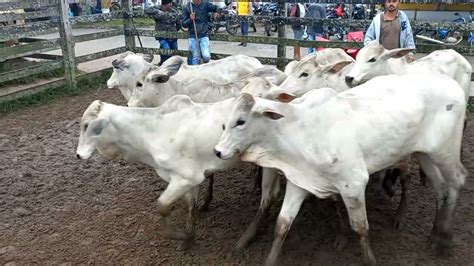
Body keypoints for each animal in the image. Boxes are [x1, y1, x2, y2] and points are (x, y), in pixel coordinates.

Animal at [75, 97, 280, 251]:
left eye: (87, 125)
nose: (78, 154)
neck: (151, 132)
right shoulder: (189, 181)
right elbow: (191, 206)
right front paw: (189, 238)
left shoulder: (185, 178)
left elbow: (162, 206)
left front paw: (181, 235)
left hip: (269, 166)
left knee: (268, 198)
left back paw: (246, 238)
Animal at [215, 73, 466, 266]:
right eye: (225, 121)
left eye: (240, 121)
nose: (217, 151)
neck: (299, 128)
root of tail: (452, 84)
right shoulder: (300, 181)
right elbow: (282, 224)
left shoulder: (353, 184)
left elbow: (361, 227)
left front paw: (370, 260)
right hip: (426, 155)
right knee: (441, 189)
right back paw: (434, 234)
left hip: (445, 152)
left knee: (457, 181)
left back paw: (444, 239)